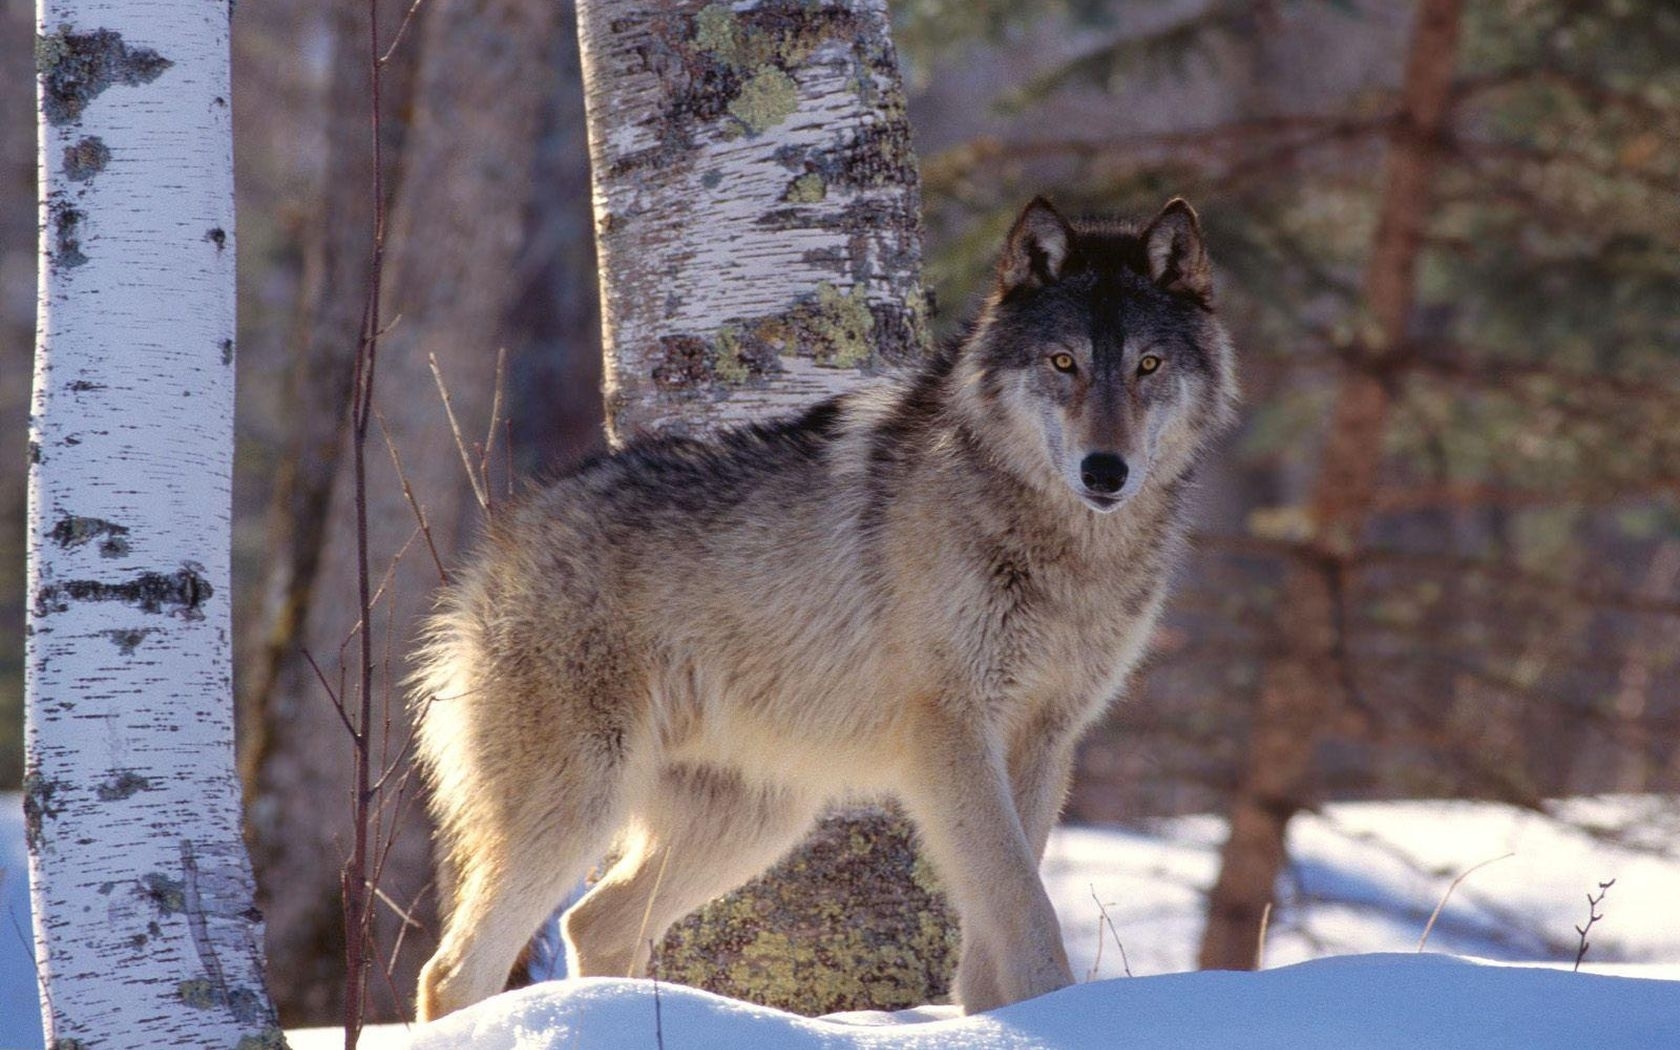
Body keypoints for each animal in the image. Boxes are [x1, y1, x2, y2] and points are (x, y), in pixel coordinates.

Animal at [414, 194, 1243, 1014]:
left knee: (591, 922)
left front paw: (999, 1022)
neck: (1067, 553)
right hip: (582, 806)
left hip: (757, 823)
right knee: (453, 970)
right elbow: (1024, 905)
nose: (1105, 471)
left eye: (1147, 365)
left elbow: (999, 923)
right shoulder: (950, 734)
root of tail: (498, 539)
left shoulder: (1043, 741)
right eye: (1063, 362)